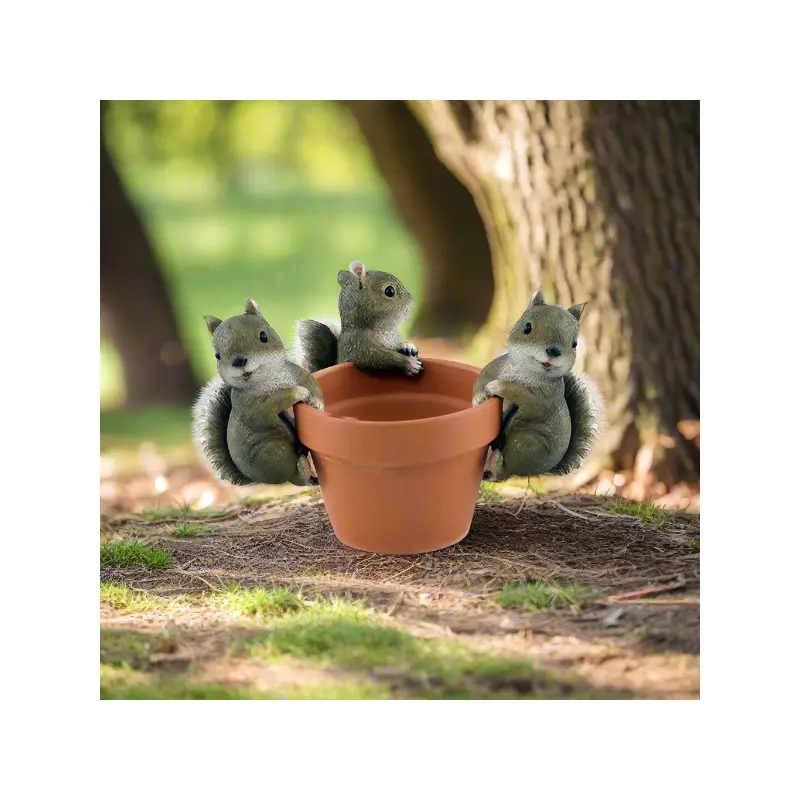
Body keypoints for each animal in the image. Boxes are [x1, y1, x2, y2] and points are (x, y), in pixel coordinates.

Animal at [191, 298, 324, 488]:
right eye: (217, 355)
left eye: (263, 336)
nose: (239, 362)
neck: (267, 378)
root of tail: (260, 479)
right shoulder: (249, 406)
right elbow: (269, 407)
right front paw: (298, 392)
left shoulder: (296, 373)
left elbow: (312, 383)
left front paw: (317, 403)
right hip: (272, 451)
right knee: (294, 477)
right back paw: (302, 468)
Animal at [295, 260, 423, 376]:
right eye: (389, 291)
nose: (410, 298)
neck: (384, 330)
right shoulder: (358, 346)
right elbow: (377, 359)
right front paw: (409, 363)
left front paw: (407, 346)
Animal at [472, 288, 604, 482]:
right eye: (527, 327)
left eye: (574, 344)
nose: (553, 351)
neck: (526, 370)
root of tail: (537, 470)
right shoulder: (498, 365)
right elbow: (483, 375)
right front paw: (478, 397)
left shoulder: (544, 400)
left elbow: (522, 395)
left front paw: (496, 386)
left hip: (527, 442)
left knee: (505, 471)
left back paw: (497, 463)